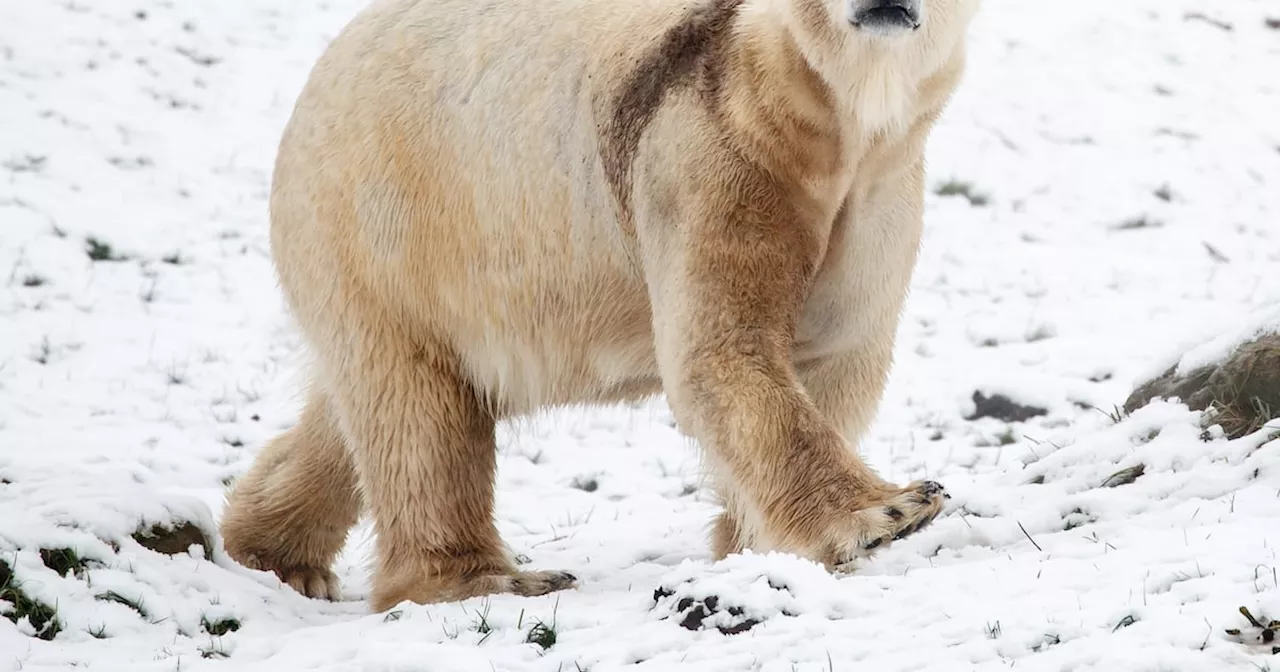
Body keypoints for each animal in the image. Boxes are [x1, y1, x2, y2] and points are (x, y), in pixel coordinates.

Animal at [220, 0, 977, 609]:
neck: (829, 120)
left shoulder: (878, 192)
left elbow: (837, 351)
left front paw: (748, 542)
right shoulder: (709, 157)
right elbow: (720, 348)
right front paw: (896, 510)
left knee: (356, 409)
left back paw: (274, 552)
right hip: (391, 220)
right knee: (418, 411)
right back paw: (490, 578)